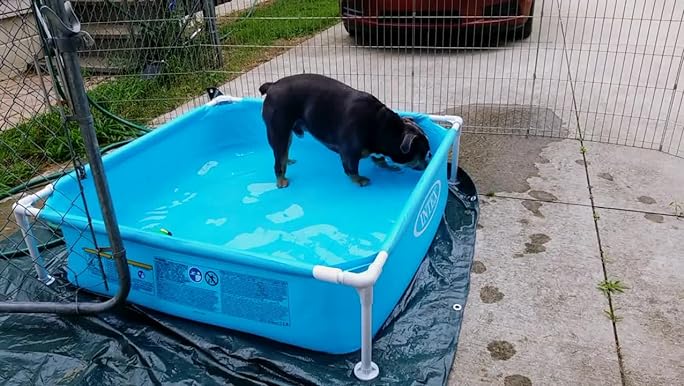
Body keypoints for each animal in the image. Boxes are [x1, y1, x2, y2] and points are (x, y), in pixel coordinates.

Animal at [260, 73, 430, 188]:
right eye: (424, 154)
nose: (428, 163)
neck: (385, 128)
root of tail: (272, 85)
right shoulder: (349, 153)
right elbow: (351, 169)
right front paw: (359, 180)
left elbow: (380, 159)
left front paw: (389, 166)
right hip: (278, 131)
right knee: (279, 159)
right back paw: (281, 180)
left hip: (286, 134)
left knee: (283, 151)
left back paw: (288, 159)